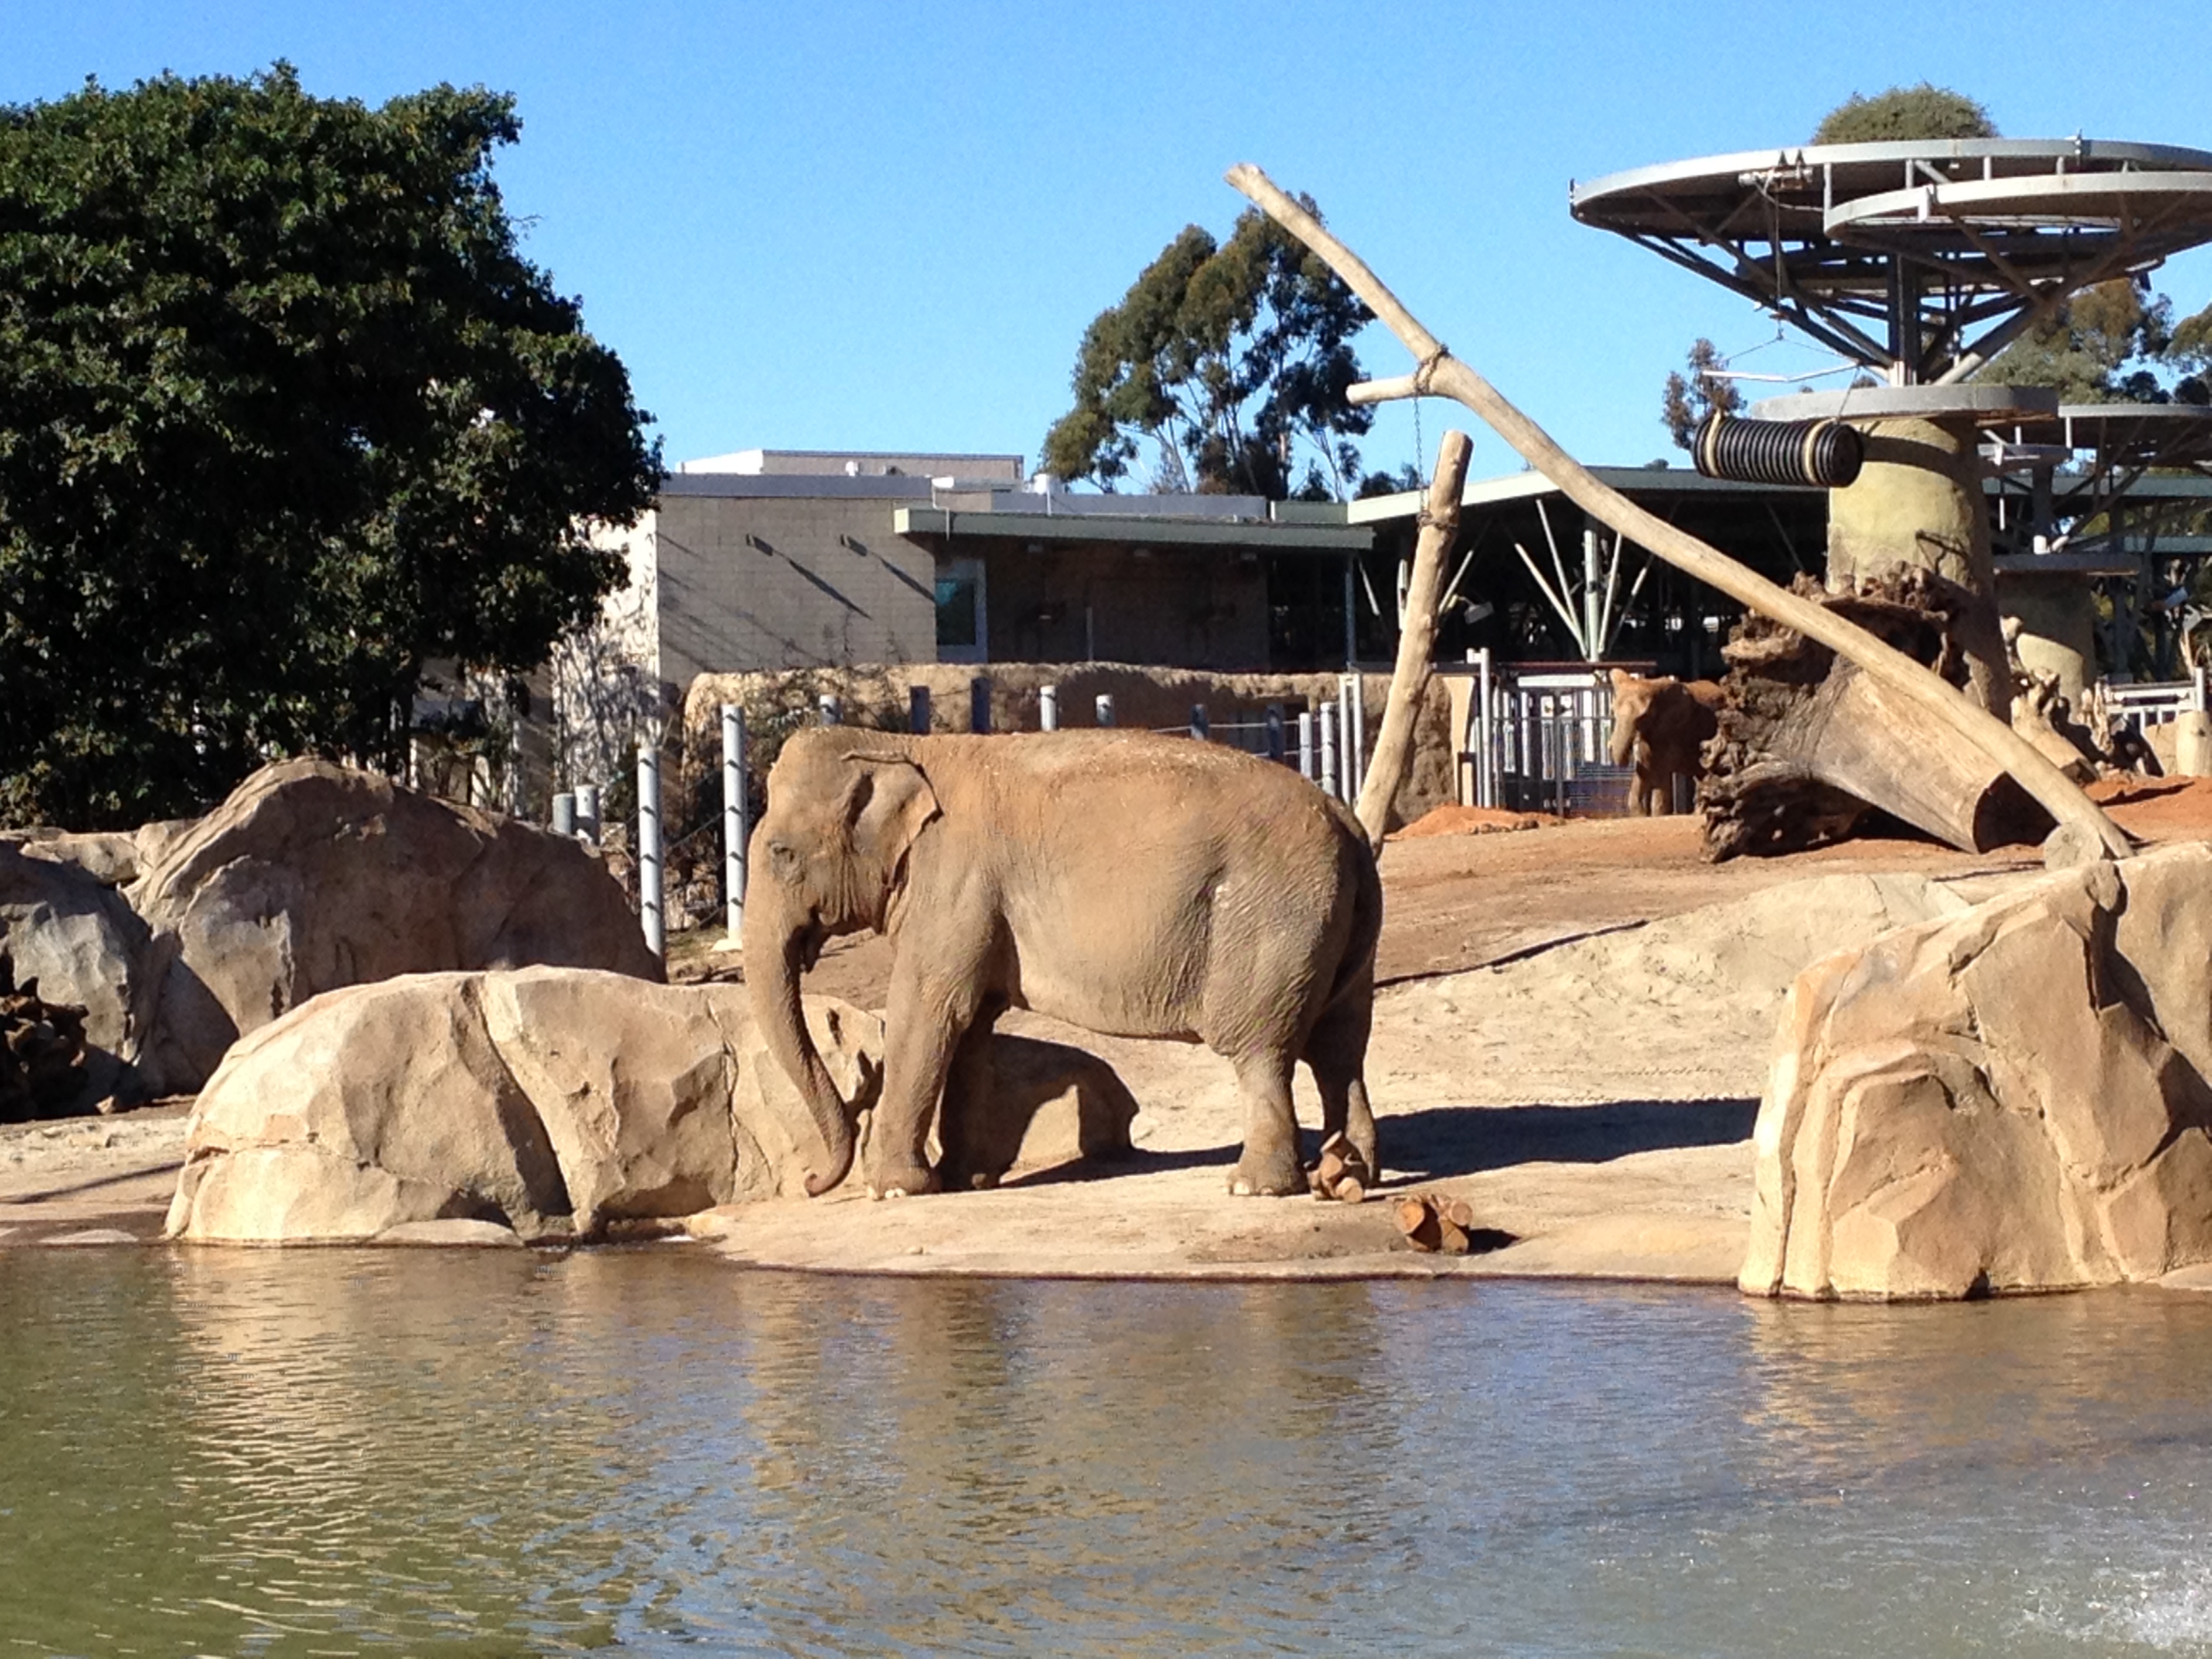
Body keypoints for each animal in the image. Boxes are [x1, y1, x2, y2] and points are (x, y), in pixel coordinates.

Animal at [743, 734, 1380, 1203]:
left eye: (781, 853)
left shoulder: (954, 882)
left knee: (1261, 1050)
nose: (811, 1182)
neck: (898, 744)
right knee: (1340, 1047)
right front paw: (966, 1180)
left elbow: (926, 1011)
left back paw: (1255, 1187)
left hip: (1270, 922)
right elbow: (972, 1024)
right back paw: (1346, 1174)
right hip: (1340, 927)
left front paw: (896, 1191)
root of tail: (1348, 822)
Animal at [1610, 668, 1725, 814]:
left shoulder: (1672, 731)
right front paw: (1640, 814)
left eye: (1643, 717)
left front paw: (1658, 814)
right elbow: (1644, 772)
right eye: (1613, 711)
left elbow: (1661, 773)